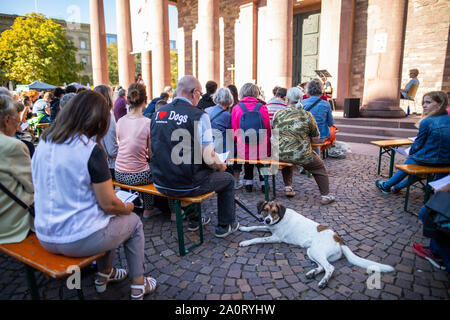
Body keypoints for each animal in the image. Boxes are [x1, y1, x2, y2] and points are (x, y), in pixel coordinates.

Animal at [239, 201, 394, 288]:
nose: (267, 220)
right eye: (265, 210)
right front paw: (243, 228)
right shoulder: (269, 229)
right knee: (322, 266)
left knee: (330, 267)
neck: (279, 219)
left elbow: (257, 239)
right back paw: (312, 273)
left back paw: (323, 282)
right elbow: (254, 227)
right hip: (312, 251)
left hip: (315, 251)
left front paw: (246, 242)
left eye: (274, 212)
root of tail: (338, 238)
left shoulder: (275, 237)